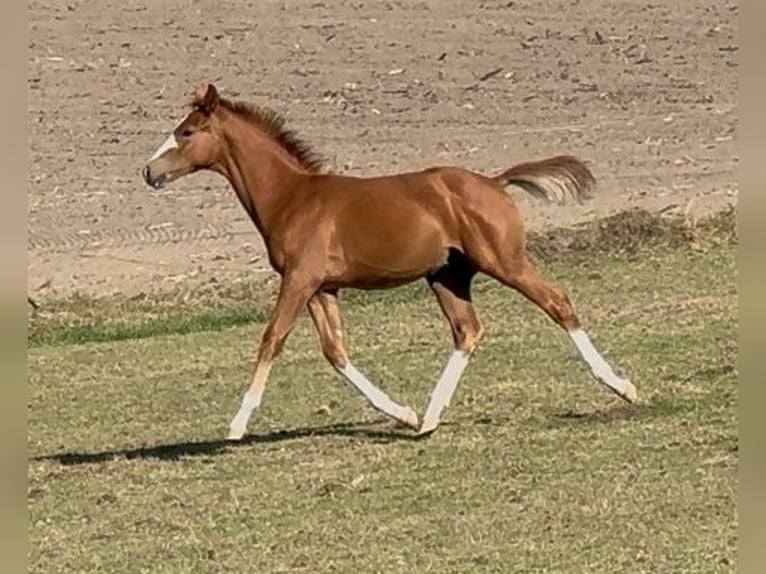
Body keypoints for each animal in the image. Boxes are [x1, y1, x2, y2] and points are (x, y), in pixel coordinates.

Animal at [142, 83, 636, 441]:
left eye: (186, 132)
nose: (149, 172)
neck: (292, 197)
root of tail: (495, 182)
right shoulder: (322, 286)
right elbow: (335, 351)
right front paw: (403, 413)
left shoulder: (299, 279)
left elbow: (272, 339)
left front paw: (237, 424)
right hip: (447, 275)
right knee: (467, 330)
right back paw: (428, 419)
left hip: (504, 261)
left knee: (557, 301)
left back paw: (622, 385)